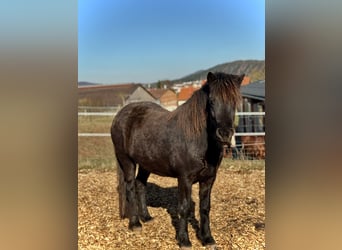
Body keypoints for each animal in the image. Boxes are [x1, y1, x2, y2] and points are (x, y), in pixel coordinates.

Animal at [110, 72, 243, 248]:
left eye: (235, 102)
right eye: (212, 101)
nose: (225, 134)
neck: (196, 139)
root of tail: (120, 115)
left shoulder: (209, 179)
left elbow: (205, 208)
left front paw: (207, 239)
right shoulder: (184, 179)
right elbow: (184, 208)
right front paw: (184, 240)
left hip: (146, 163)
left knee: (140, 184)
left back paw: (146, 217)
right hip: (126, 160)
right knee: (130, 187)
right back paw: (135, 224)